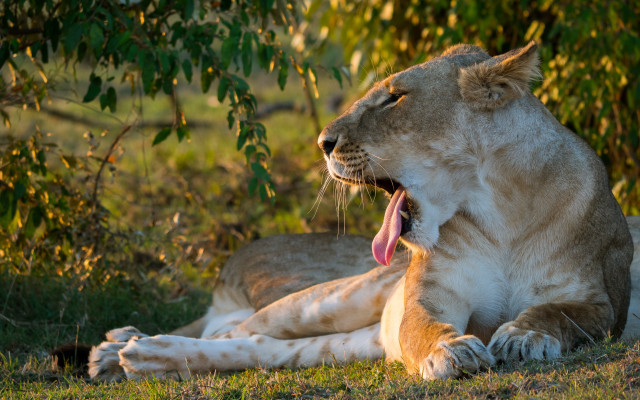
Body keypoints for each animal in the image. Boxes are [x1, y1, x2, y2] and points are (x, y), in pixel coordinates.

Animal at [88, 42, 639, 382]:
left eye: (394, 97)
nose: (322, 142)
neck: (497, 212)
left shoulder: (599, 300)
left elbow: (558, 314)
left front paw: (524, 336)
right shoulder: (427, 295)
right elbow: (423, 326)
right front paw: (450, 350)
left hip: (350, 338)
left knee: (256, 347)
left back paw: (138, 357)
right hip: (334, 297)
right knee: (237, 329)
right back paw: (121, 348)